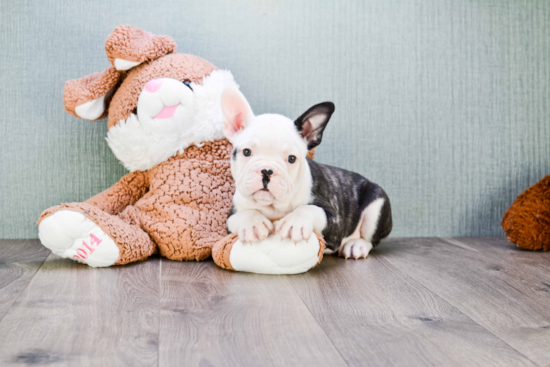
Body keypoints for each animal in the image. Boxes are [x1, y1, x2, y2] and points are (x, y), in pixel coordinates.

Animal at [220, 87, 392, 260]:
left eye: (291, 159)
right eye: (246, 152)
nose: (267, 171)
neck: (274, 206)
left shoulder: (335, 221)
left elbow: (309, 209)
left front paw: (296, 222)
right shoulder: (231, 215)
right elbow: (244, 213)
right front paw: (253, 222)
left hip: (376, 206)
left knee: (371, 239)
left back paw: (356, 245)